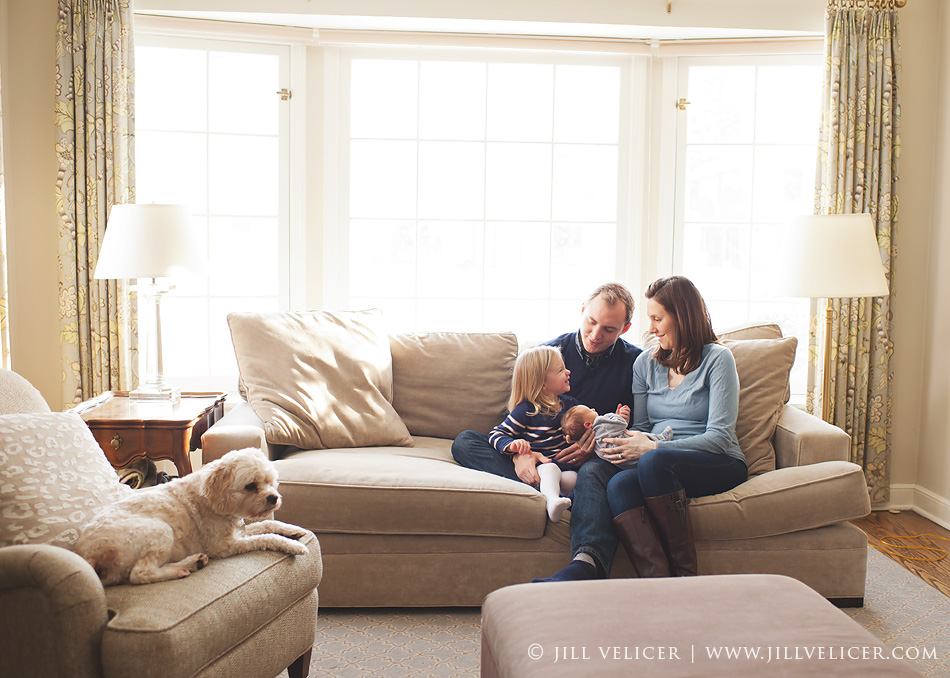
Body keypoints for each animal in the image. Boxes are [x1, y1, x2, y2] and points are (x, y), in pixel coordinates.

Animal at [77, 448, 310, 588]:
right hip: (159, 531)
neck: (212, 498)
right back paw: (181, 568)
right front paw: (293, 545)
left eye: (270, 481)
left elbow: (267, 523)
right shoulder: (222, 546)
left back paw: (193, 562)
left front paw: (292, 530)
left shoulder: (239, 530)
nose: (274, 498)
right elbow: (266, 538)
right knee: (140, 574)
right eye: (250, 486)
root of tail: (85, 554)